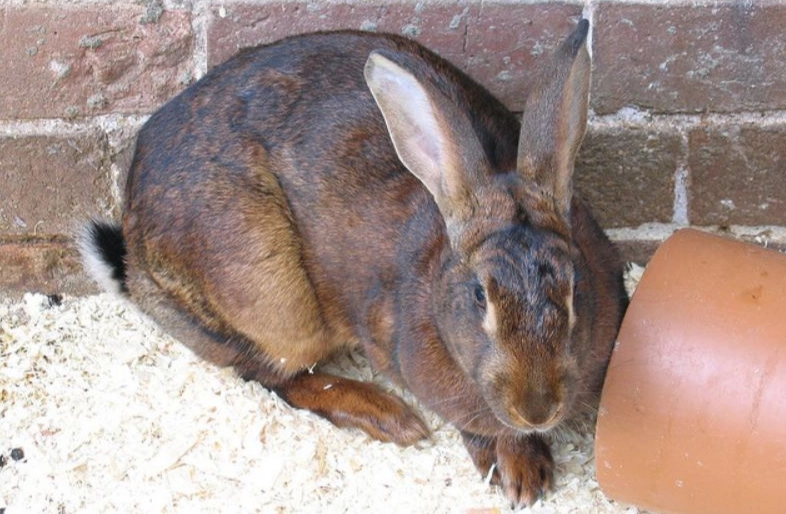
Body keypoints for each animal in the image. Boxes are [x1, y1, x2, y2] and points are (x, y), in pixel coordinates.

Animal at [79, 19, 628, 508]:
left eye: (575, 288)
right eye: (480, 296)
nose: (537, 408)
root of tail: (135, 260)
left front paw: (526, 469)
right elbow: (472, 425)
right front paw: (517, 471)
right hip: (275, 300)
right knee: (272, 375)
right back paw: (388, 415)